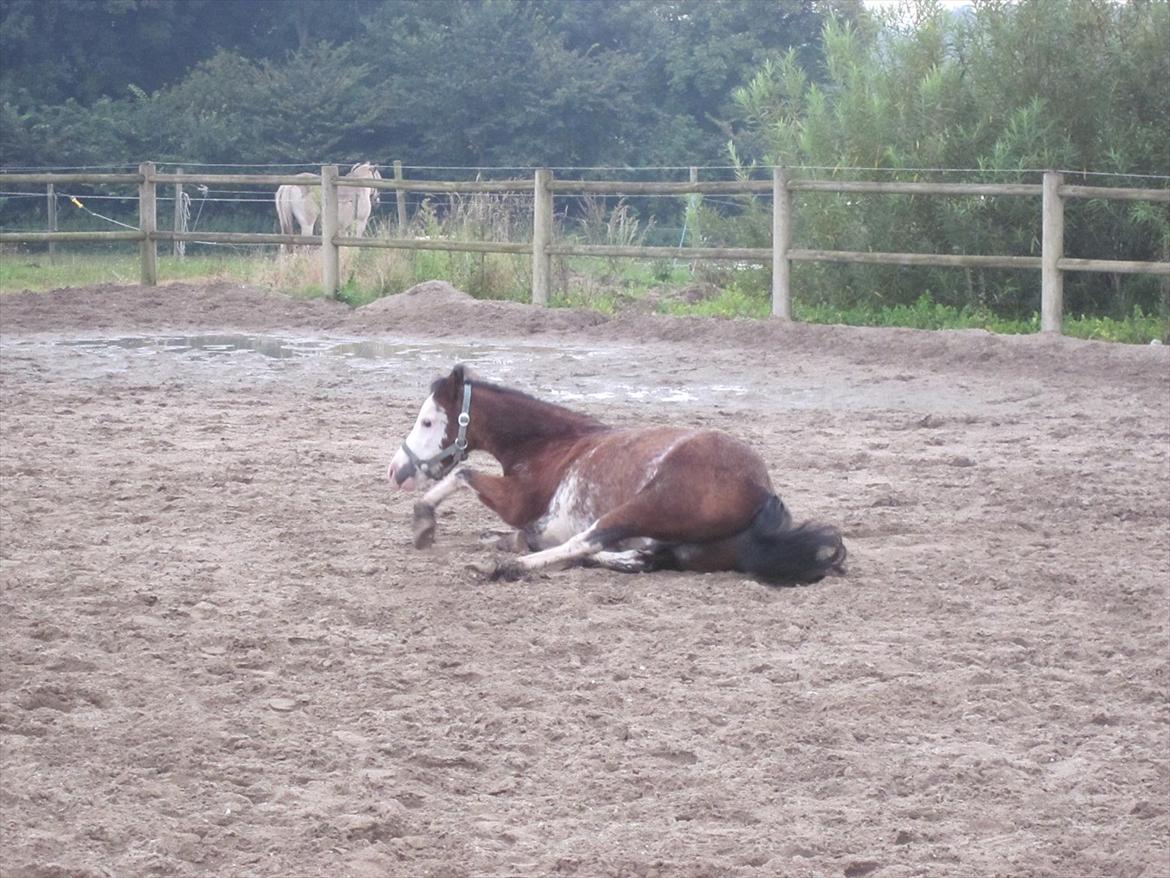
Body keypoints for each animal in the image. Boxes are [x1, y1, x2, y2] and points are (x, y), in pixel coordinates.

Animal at [387, 365, 847, 584]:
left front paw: (423, 522)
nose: (396, 471)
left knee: (588, 540)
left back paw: (508, 568)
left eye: (427, 421)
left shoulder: (516, 501)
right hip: (683, 545)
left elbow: (463, 473)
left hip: (652, 503)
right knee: (637, 558)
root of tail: (762, 492)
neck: (549, 443)